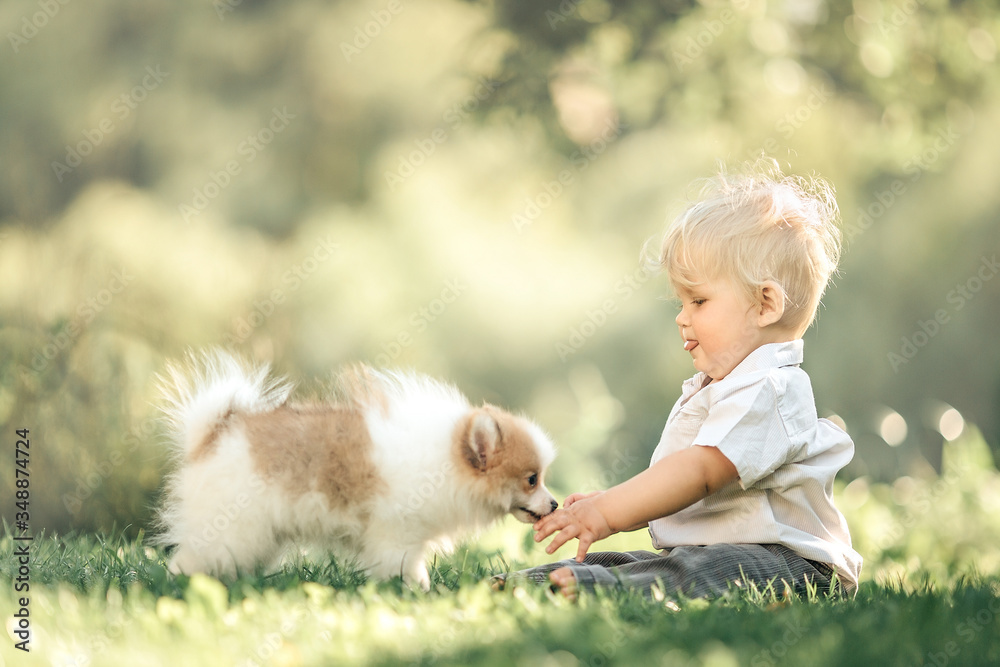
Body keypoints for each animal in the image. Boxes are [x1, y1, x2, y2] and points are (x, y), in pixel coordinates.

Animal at [158, 350, 564, 588]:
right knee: (192, 557)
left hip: (258, 533)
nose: (555, 504)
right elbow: (404, 565)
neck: (444, 462)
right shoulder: (397, 531)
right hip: (234, 525)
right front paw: (417, 592)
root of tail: (211, 436)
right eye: (532, 480)